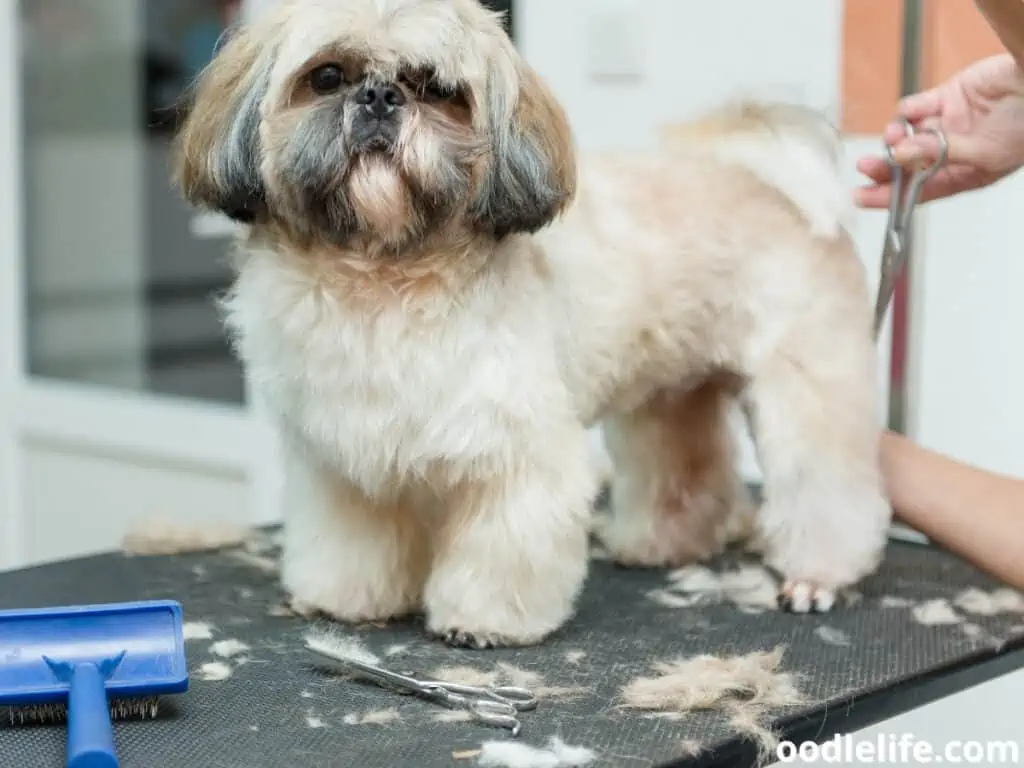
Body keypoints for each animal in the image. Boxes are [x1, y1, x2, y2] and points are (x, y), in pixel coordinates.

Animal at [172, 0, 892, 651]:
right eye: (326, 76)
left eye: (437, 88)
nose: (378, 97)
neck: (383, 276)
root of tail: (765, 178)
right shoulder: (344, 459)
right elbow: (353, 538)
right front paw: (346, 599)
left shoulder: (517, 447)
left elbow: (503, 543)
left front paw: (482, 621)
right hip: (670, 394)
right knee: (689, 469)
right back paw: (660, 544)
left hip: (808, 385)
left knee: (830, 484)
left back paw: (819, 575)